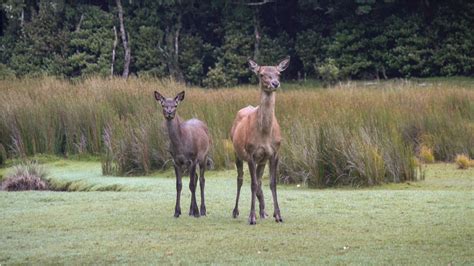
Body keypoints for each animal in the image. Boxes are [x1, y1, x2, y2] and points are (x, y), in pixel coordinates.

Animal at [230, 56, 288, 224]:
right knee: (240, 179)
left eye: (278, 73)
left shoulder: (275, 153)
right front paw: (252, 217)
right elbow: (253, 184)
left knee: (260, 180)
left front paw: (278, 215)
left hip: (262, 160)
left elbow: (272, 183)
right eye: (262, 74)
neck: (265, 135)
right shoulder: (251, 153)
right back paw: (236, 211)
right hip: (236, 152)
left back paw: (263, 211)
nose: (275, 83)